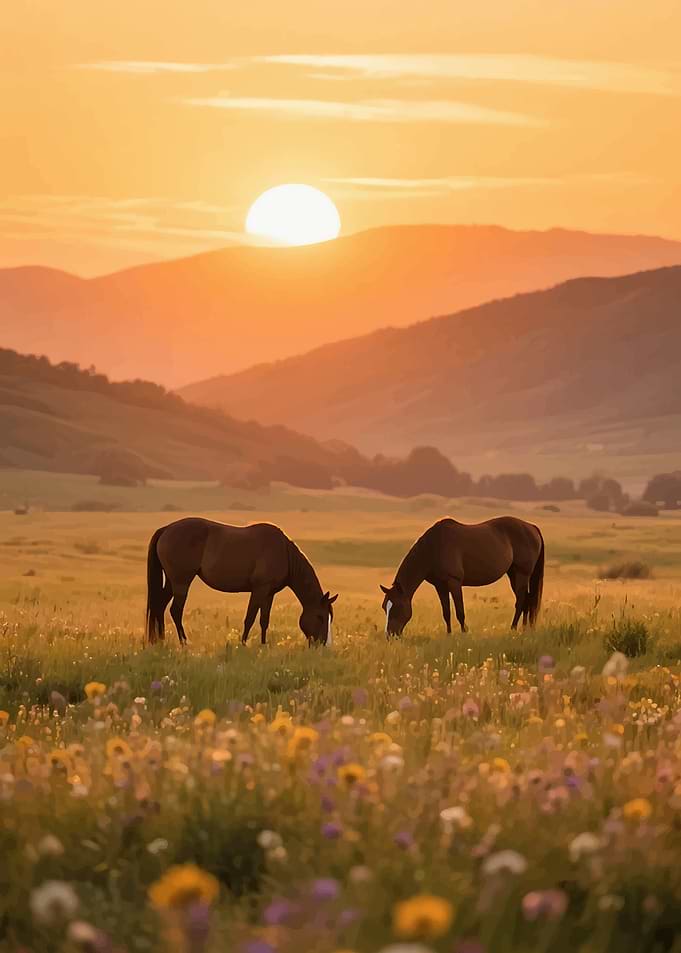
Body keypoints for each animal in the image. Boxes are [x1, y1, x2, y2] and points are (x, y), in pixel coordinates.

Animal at [145, 518, 337, 646]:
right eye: (320, 617)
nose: (323, 645)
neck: (284, 553)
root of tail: (166, 529)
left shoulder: (269, 594)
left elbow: (264, 620)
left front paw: (263, 645)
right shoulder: (259, 590)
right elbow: (250, 618)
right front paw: (243, 644)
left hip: (171, 582)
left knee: (159, 606)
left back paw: (160, 641)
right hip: (181, 582)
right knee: (175, 611)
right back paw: (184, 643)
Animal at [380, 517, 544, 637]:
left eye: (397, 606)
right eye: (384, 607)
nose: (390, 635)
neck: (434, 547)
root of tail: (532, 527)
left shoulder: (454, 582)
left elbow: (460, 611)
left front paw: (464, 633)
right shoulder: (440, 586)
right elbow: (446, 612)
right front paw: (448, 635)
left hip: (522, 574)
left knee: (521, 600)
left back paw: (513, 628)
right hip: (513, 574)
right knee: (527, 600)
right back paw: (525, 629)